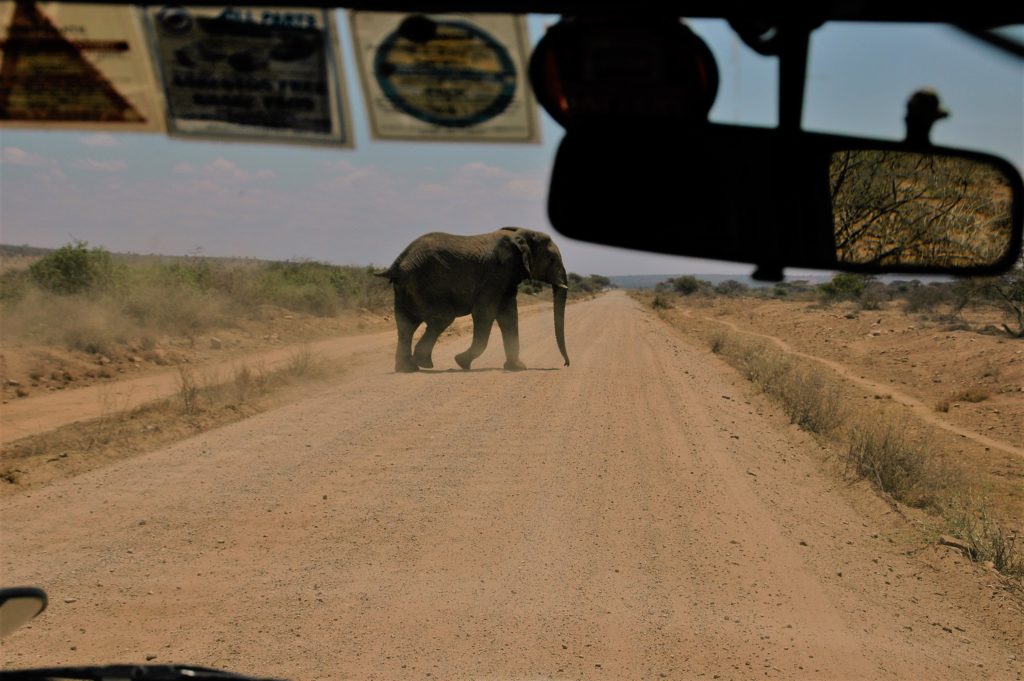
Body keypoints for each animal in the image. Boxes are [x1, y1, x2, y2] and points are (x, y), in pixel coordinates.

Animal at [378, 227, 573, 372]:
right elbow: (485, 313)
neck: (521, 234)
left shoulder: (506, 278)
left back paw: (408, 369)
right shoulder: (496, 274)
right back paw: (424, 363)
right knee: (442, 318)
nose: (565, 364)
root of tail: (399, 264)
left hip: (405, 288)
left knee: (406, 325)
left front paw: (516, 368)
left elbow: (509, 316)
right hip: (425, 283)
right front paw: (461, 362)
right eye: (552, 260)